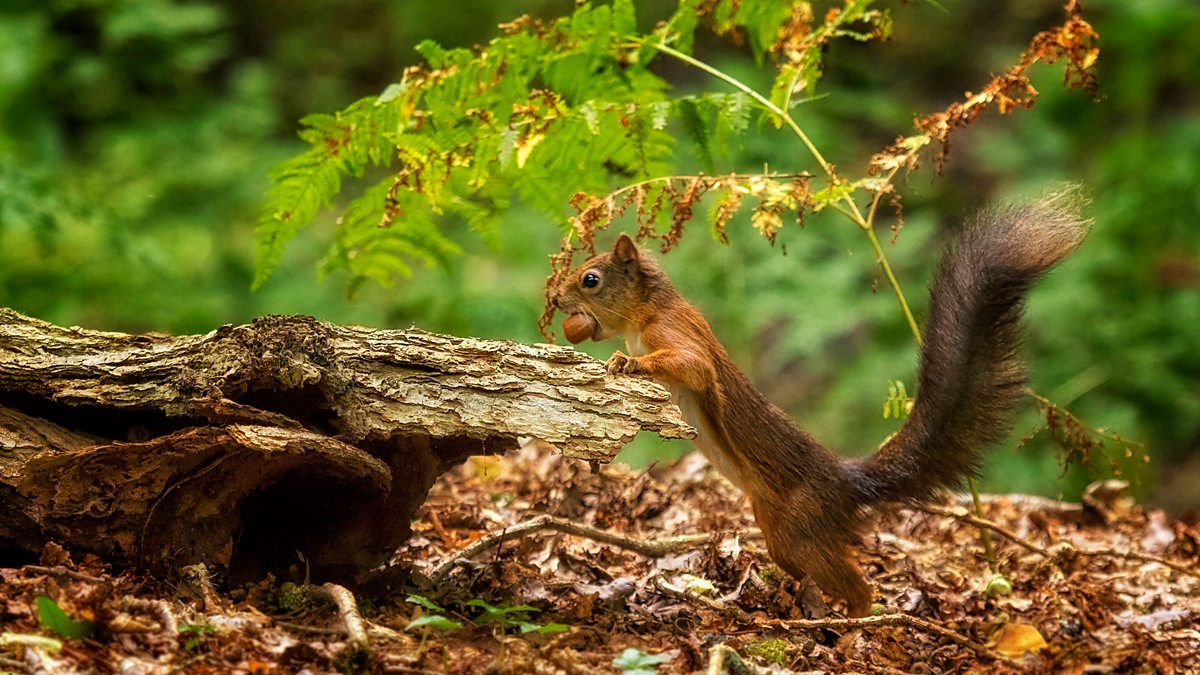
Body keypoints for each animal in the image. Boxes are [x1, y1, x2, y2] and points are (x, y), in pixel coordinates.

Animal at [549, 193, 1089, 614]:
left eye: (591, 279)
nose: (555, 300)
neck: (647, 312)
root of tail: (846, 483)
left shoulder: (677, 334)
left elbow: (693, 367)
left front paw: (627, 363)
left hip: (802, 528)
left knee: (855, 584)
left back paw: (858, 618)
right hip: (777, 530)